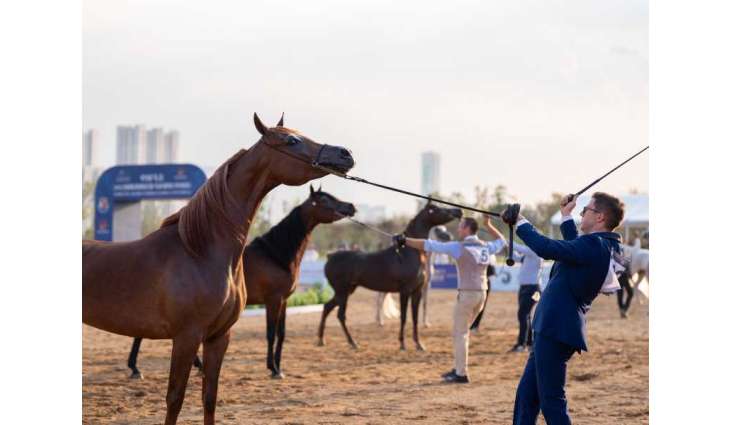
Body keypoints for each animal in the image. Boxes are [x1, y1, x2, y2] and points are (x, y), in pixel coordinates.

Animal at [126, 186, 356, 380]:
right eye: (325, 199)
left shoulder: (284, 301)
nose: (350, 207)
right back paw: (136, 368)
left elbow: (281, 334)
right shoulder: (273, 300)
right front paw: (273, 368)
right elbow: (270, 333)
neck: (276, 254)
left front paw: (279, 367)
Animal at [318, 202, 462, 351]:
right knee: (340, 315)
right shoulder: (405, 291)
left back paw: (322, 340)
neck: (409, 252)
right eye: (437, 209)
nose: (458, 211)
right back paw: (352, 342)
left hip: (347, 291)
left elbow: (415, 318)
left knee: (327, 307)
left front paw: (419, 344)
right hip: (342, 292)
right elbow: (403, 317)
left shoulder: (417, 292)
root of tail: (330, 256)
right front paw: (402, 344)